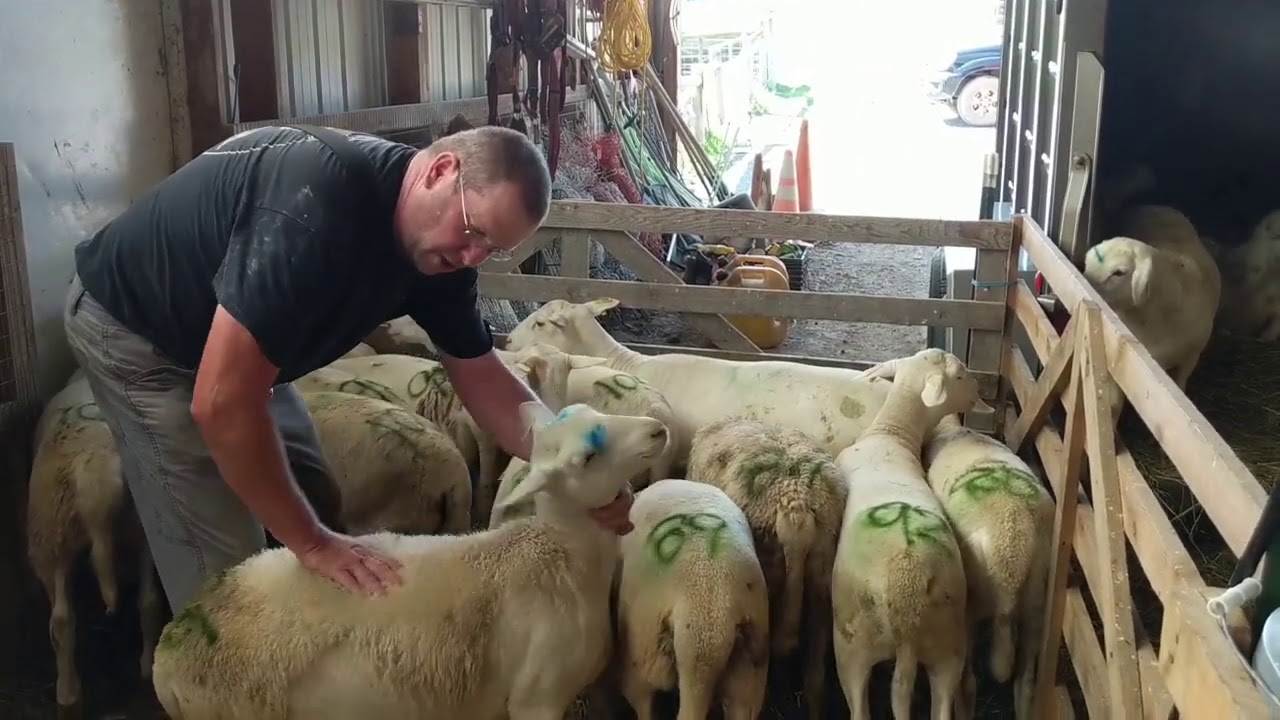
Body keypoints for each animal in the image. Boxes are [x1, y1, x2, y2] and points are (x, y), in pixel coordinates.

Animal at [26, 370, 162, 711]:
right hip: (134, 532)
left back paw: (67, 692)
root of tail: (96, 475)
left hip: (50, 537)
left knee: (61, 620)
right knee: (147, 600)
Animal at [832, 348, 993, 720]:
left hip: (850, 646)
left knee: (858, 707)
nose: (979, 388)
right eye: (960, 376)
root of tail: (909, 593)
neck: (889, 434)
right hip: (949, 646)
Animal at [1082, 204, 1221, 416]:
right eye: (1088, 264)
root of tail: (1154, 206)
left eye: (1119, 272)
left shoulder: (1192, 355)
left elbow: (1180, 385)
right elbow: (1114, 403)